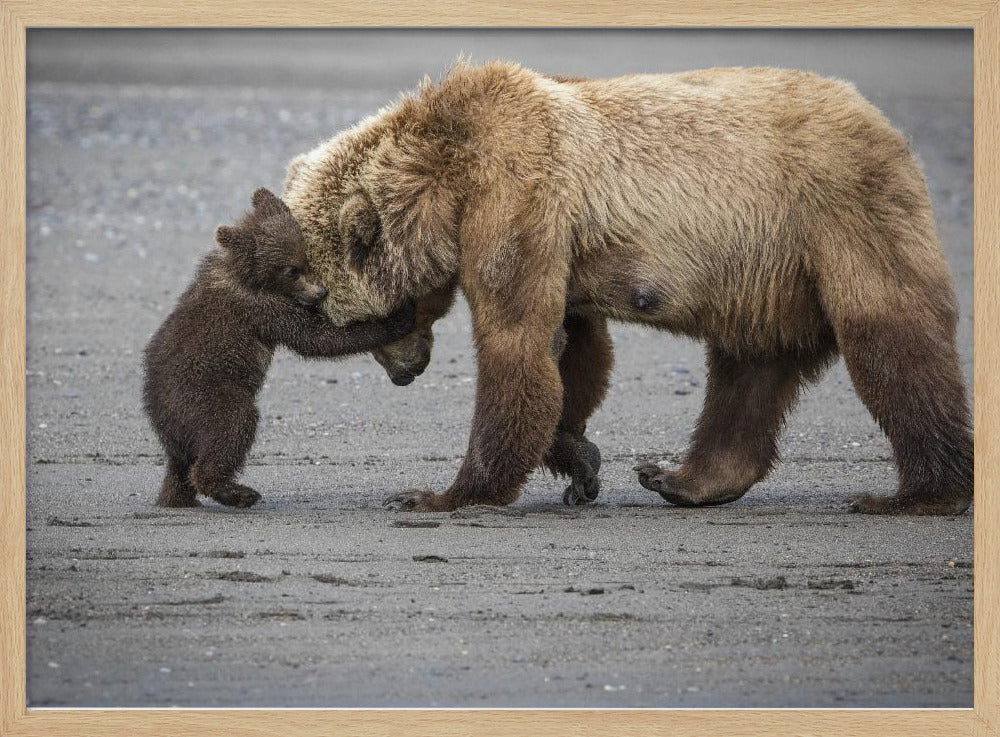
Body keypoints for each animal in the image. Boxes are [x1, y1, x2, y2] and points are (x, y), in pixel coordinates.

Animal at [143, 188, 415, 508]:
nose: (321, 292)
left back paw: (178, 498)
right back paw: (238, 492)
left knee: (180, 467)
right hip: (205, 395)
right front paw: (399, 316)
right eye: (290, 270)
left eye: (305, 259)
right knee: (232, 427)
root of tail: (161, 418)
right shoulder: (262, 308)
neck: (248, 275)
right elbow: (316, 338)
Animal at [281, 61, 973, 516]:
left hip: (838, 214)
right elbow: (573, 348)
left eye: (359, 321)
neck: (447, 175)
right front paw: (579, 460)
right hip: (766, 274)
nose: (405, 373)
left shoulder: (517, 196)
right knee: (749, 368)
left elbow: (516, 342)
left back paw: (919, 493)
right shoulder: (557, 237)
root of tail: (883, 123)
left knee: (891, 340)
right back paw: (683, 479)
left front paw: (442, 493)